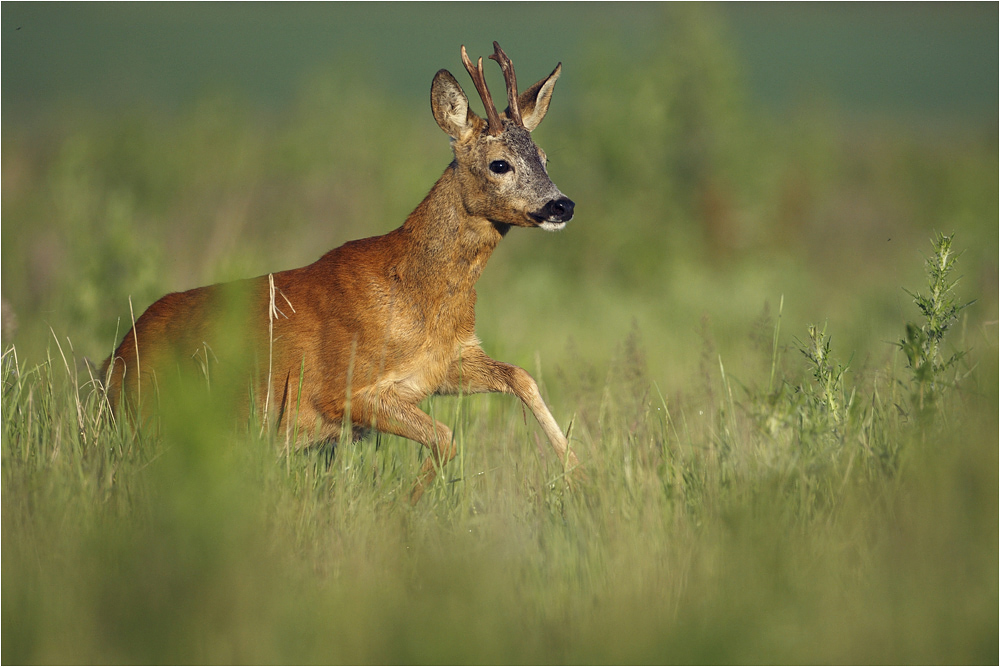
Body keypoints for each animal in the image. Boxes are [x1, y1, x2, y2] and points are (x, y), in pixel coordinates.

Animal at [99, 41, 580, 504]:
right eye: (500, 163)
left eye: (544, 157)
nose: (562, 205)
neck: (416, 294)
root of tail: (114, 362)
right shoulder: (344, 390)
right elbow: (446, 438)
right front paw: (401, 510)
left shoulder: (445, 364)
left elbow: (521, 377)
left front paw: (578, 472)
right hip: (153, 417)